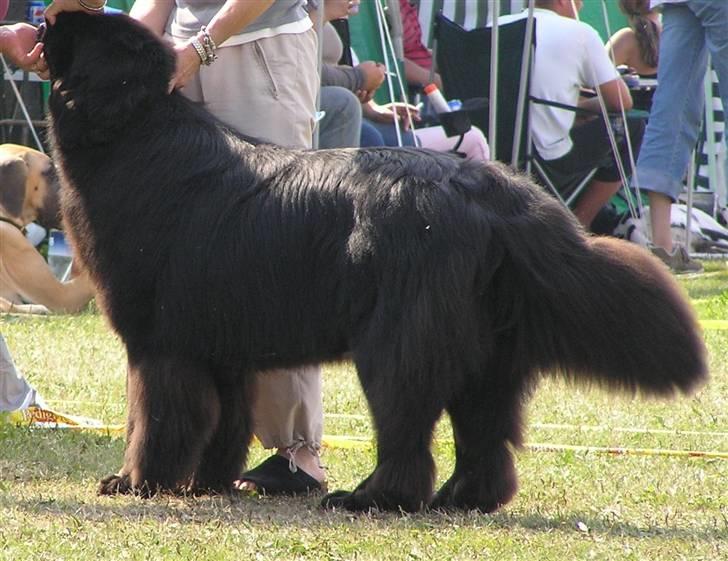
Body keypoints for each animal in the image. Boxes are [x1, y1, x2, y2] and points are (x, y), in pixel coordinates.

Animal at [44, 13, 704, 512]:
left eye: (68, 32)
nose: (43, 20)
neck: (135, 133)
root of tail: (494, 192)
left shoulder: (160, 344)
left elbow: (155, 420)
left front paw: (136, 483)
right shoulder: (220, 345)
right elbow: (224, 423)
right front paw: (206, 482)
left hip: (398, 343)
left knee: (407, 430)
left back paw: (371, 498)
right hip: (490, 353)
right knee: (484, 432)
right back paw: (464, 499)